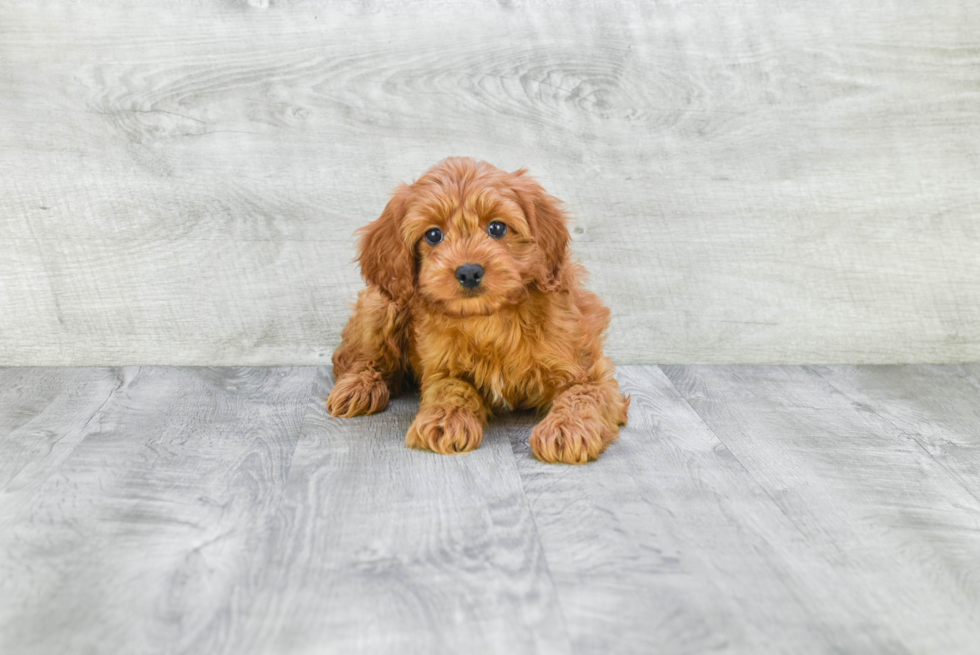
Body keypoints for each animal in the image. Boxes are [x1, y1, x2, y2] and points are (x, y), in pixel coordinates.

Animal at [326, 156, 632, 464]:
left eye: (497, 228)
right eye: (433, 235)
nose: (469, 272)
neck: (489, 318)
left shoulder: (586, 368)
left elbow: (583, 394)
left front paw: (566, 428)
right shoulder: (441, 367)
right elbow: (451, 388)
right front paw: (445, 420)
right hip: (384, 305)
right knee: (357, 358)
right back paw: (359, 387)